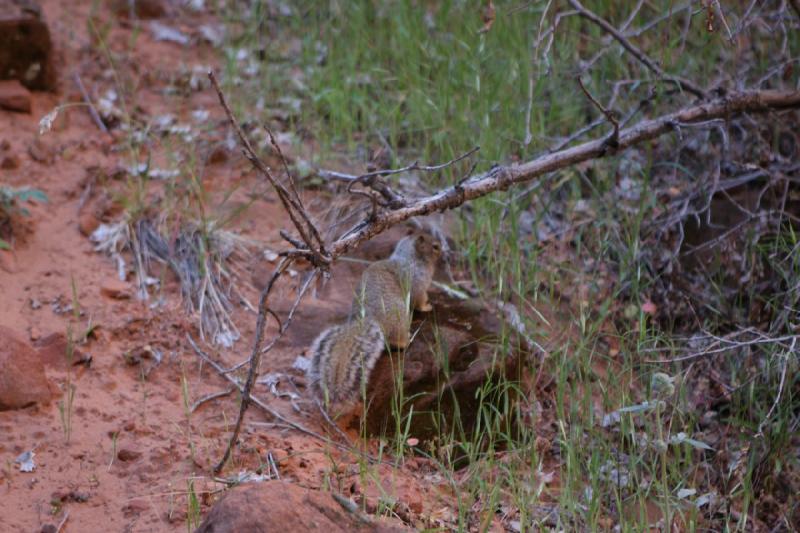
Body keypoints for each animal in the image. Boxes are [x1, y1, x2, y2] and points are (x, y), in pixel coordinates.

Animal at [308, 233, 444, 412]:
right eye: (435, 246)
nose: (444, 251)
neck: (409, 257)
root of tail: (370, 319)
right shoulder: (418, 283)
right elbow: (420, 300)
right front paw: (428, 306)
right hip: (401, 315)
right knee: (398, 342)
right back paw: (408, 338)